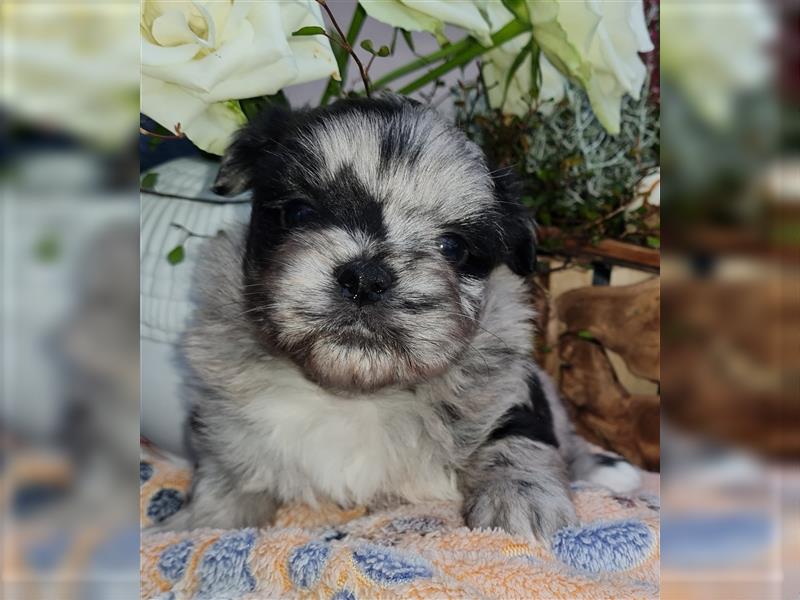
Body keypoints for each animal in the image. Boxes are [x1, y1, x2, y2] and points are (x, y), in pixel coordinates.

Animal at [161, 95, 636, 540]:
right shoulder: (222, 418)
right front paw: (204, 520)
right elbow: (229, 470)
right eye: (299, 213)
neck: (354, 394)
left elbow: (518, 435)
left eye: (453, 246)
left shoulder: (512, 384)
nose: (365, 279)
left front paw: (521, 499)